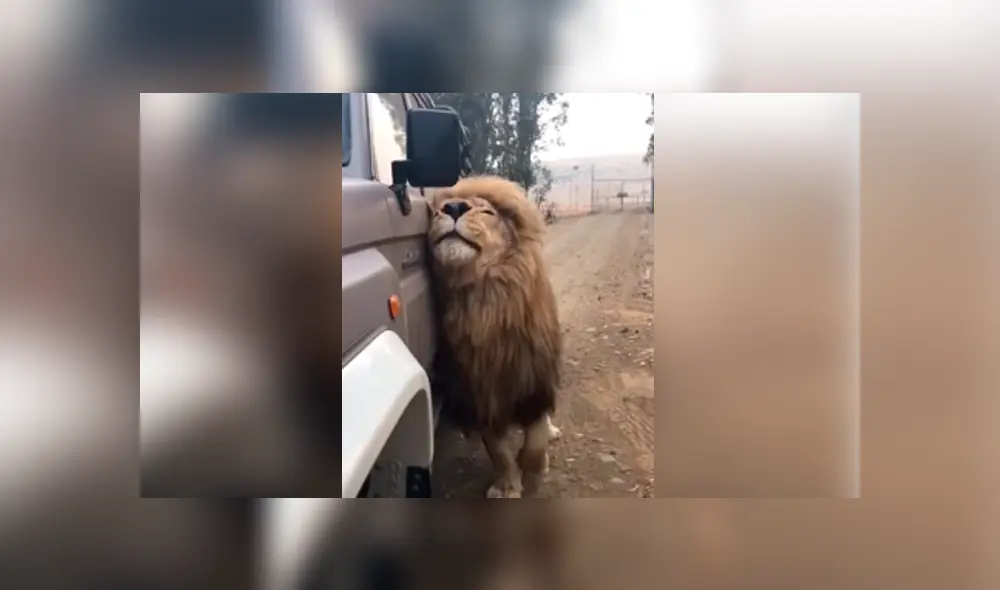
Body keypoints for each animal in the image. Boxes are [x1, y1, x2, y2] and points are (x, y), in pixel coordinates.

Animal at [427, 175, 562, 498]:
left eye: (487, 212)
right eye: (437, 210)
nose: (452, 207)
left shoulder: (534, 385)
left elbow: (536, 440)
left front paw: (535, 466)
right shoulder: (482, 393)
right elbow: (498, 452)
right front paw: (507, 487)